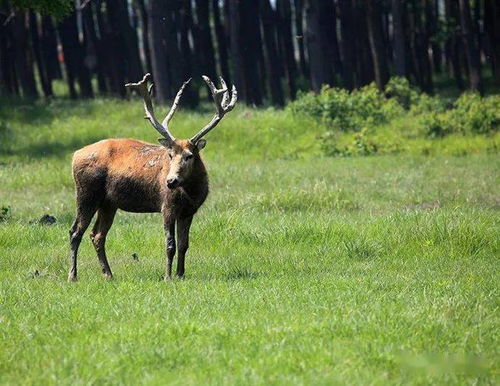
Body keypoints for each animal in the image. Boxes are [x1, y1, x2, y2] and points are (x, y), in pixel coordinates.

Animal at [68, 74, 238, 282]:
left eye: (189, 155)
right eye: (170, 155)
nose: (170, 181)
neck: (191, 193)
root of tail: (75, 155)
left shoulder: (189, 211)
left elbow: (184, 244)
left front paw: (181, 274)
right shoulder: (167, 206)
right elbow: (170, 245)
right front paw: (167, 277)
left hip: (108, 203)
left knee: (97, 235)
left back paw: (108, 274)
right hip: (86, 194)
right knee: (75, 231)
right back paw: (73, 276)